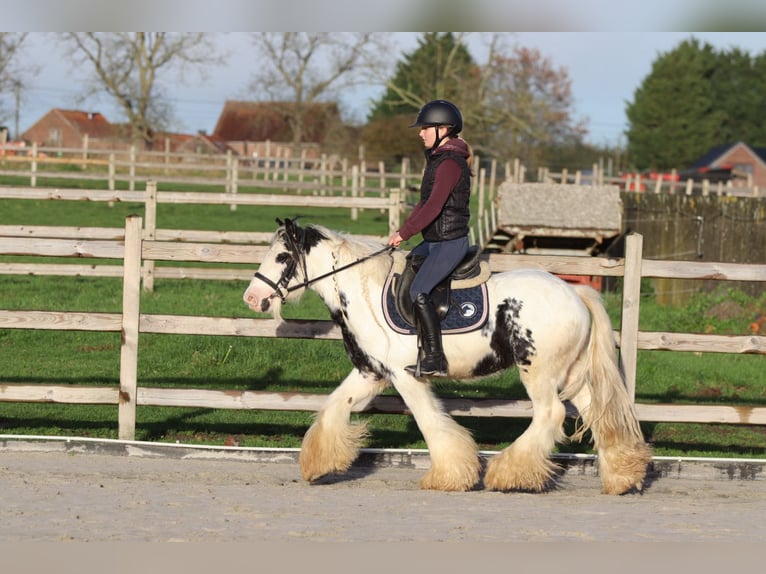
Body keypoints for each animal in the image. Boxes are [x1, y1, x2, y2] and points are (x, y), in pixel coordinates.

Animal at [242, 218, 652, 494]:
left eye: (282, 256)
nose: (251, 298)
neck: (365, 292)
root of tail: (574, 293)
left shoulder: (404, 375)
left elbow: (430, 423)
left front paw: (451, 475)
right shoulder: (370, 373)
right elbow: (332, 407)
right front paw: (317, 464)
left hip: (539, 372)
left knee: (550, 414)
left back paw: (509, 473)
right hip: (570, 374)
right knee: (594, 412)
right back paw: (622, 476)